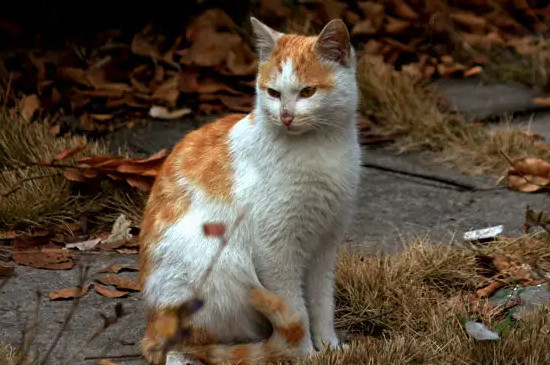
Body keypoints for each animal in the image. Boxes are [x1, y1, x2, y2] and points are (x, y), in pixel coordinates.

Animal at [139, 16, 362, 364]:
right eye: (273, 92)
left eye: (307, 91)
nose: (286, 116)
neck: (319, 149)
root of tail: (152, 324)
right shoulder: (275, 249)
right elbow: (296, 309)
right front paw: (305, 355)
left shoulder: (326, 243)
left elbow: (322, 303)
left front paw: (329, 347)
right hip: (219, 263)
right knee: (181, 349)